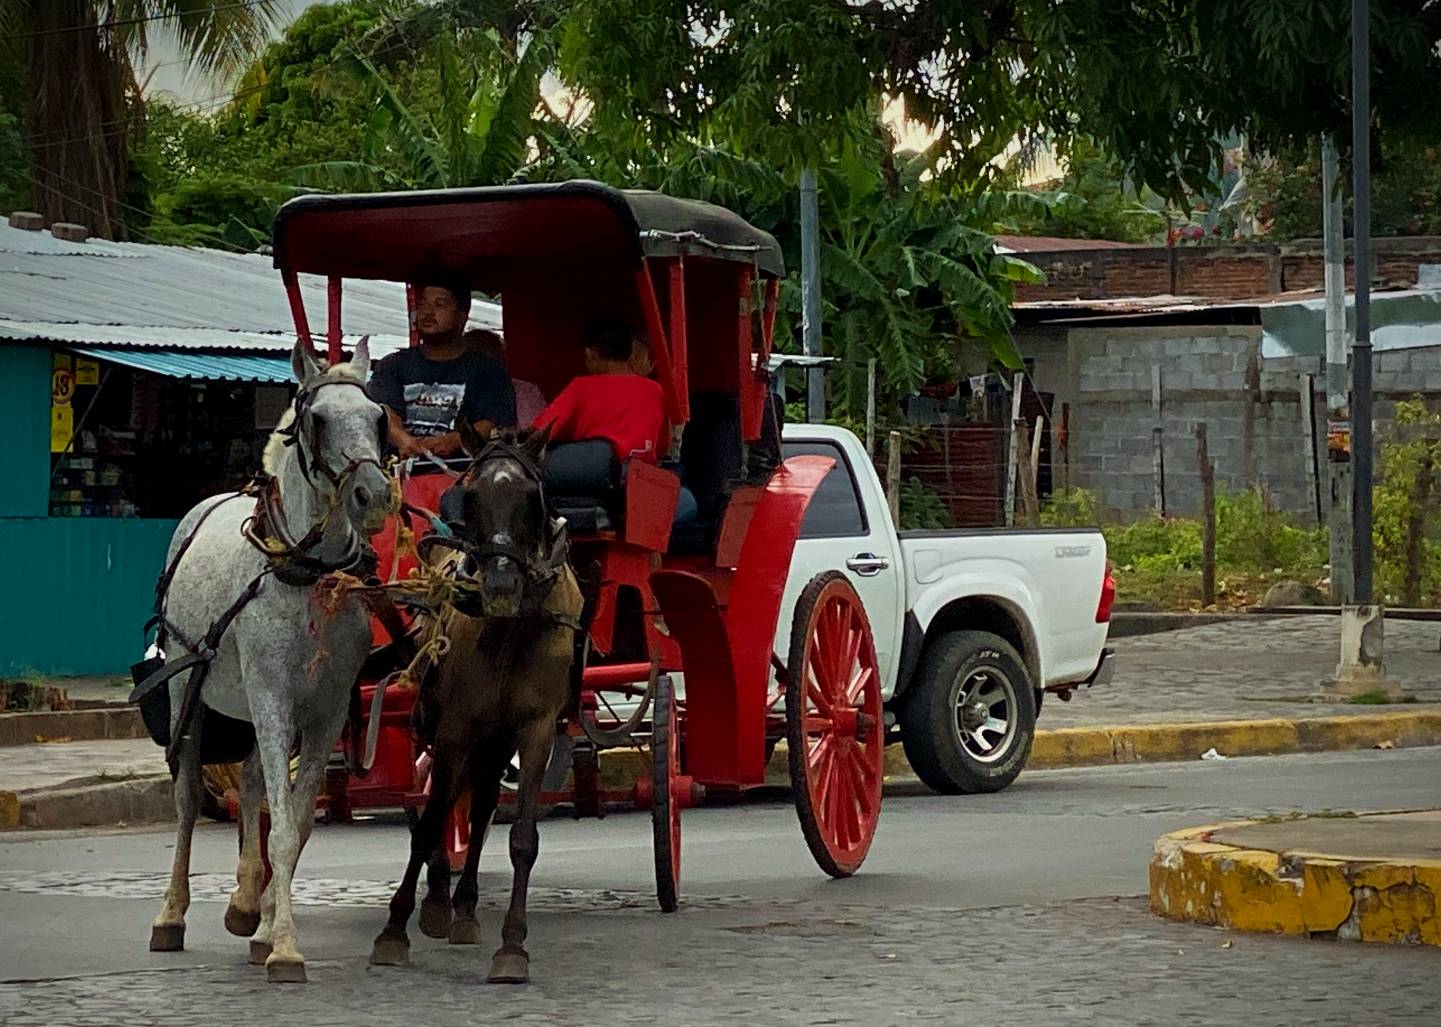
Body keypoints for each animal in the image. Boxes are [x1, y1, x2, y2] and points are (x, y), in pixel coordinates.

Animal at [148, 339, 391, 979]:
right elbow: (278, 825)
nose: (375, 496)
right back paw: (171, 915)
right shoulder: (273, 699)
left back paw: (245, 906)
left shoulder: (325, 710)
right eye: (318, 419)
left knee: (255, 781)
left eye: (378, 418)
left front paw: (267, 929)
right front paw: (284, 947)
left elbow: (295, 821)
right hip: (191, 692)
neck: (306, 575)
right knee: (187, 800)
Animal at [368, 420, 582, 979]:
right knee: (440, 807)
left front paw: (512, 947)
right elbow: (428, 824)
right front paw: (395, 930)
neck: (510, 629)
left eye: (531, 496)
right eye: (470, 496)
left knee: (481, 807)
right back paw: (440, 899)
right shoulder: (455, 728)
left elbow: (522, 838)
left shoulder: (535, 730)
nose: (502, 584)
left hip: (495, 740)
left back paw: (463, 908)